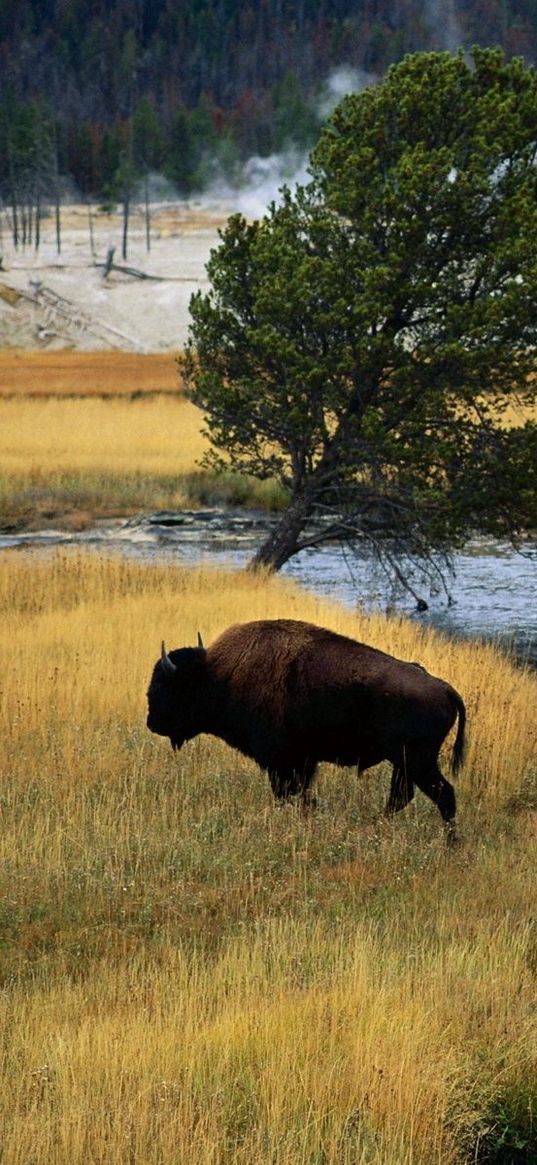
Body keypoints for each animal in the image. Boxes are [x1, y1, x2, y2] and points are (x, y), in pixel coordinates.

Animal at [146, 619, 463, 838]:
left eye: (164, 684)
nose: (151, 722)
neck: (219, 675)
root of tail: (445, 688)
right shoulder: (304, 762)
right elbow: (304, 796)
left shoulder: (280, 762)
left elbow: (288, 794)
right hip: (405, 763)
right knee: (404, 796)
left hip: (417, 761)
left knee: (441, 794)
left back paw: (448, 844)